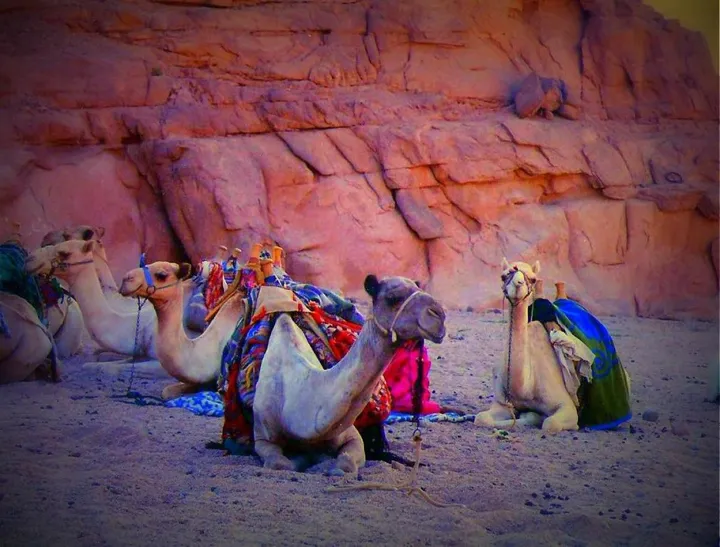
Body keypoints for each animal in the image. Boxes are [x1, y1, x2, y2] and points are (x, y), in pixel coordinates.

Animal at [251, 274, 446, 475]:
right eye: (393, 298)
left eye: (419, 288)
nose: (439, 315)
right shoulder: (262, 438)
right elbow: (280, 463)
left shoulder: (350, 435)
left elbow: (346, 463)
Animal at [474, 259, 582, 433]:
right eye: (504, 276)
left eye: (533, 279)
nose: (518, 284)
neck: (526, 388)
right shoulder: (503, 403)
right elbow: (481, 418)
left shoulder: (566, 405)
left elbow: (550, 424)